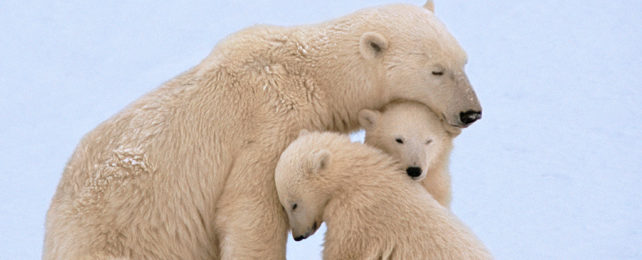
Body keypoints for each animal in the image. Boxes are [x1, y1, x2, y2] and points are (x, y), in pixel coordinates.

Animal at [43, 1, 480, 258]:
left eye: (464, 61)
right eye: (436, 70)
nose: (471, 112)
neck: (310, 74)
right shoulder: (269, 122)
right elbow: (251, 212)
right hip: (117, 238)